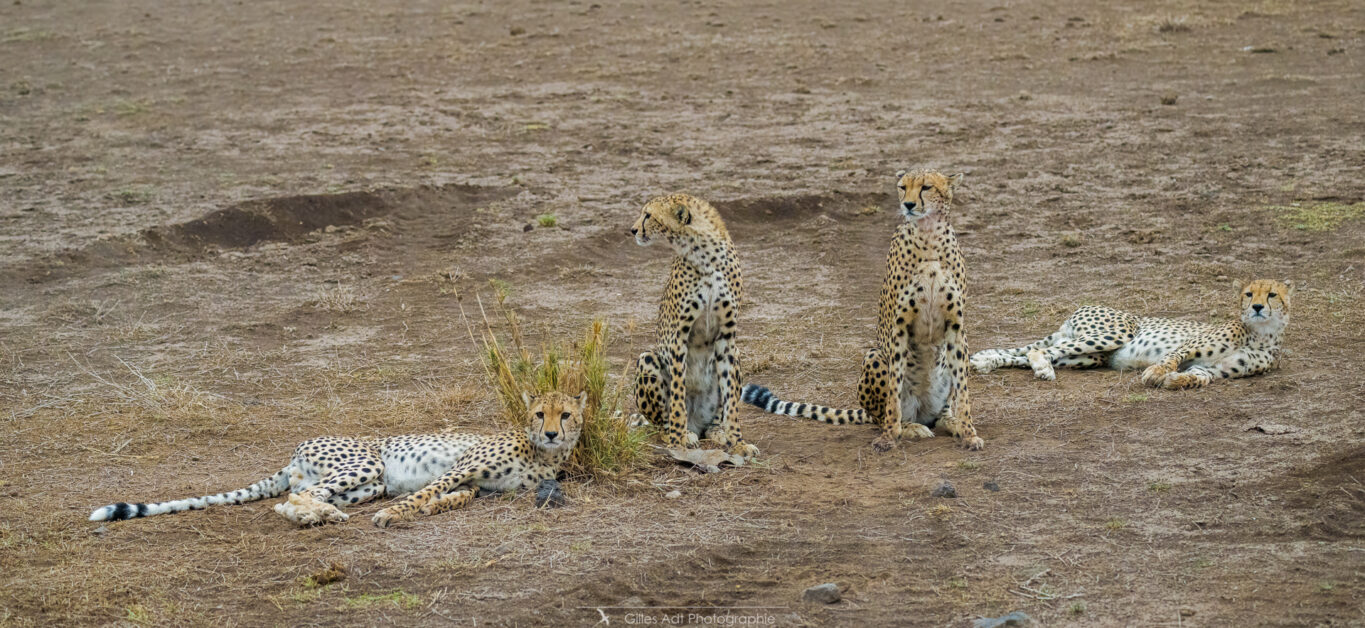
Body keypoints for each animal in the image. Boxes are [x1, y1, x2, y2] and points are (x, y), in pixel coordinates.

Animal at [90, 390, 581, 526]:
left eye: (566, 414)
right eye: (540, 413)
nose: (552, 432)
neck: (542, 453)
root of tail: (294, 452)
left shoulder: (475, 484)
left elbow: (452, 497)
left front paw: (428, 509)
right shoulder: (462, 468)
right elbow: (425, 493)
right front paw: (393, 517)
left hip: (369, 482)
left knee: (300, 497)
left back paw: (320, 515)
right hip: (369, 463)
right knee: (291, 500)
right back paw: (317, 517)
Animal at [625, 193, 758, 458]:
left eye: (648, 215)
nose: (633, 230)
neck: (704, 254)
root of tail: (697, 421)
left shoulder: (727, 338)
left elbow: (731, 402)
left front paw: (738, 443)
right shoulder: (678, 338)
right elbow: (677, 396)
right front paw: (678, 440)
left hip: (737, 355)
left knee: (712, 421)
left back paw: (717, 432)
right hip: (647, 358)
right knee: (661, 422)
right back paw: (679, 432)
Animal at [742, 167, 988, 450]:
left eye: (926, 187)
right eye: (903, 187)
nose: (908, 205)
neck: (928, 235)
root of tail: (922, 412)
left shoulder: (956, 327)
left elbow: (963, 391)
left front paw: (969, 433)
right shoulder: (899, 326)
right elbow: (894, 391)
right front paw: (890, 437)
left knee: (942, 411)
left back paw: (950, 422)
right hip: (873, 355)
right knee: (882, 414)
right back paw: (908, 427)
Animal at [971, 279, 1288, 387]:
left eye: (1272, 295)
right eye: (1249, 294)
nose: (1257, 307)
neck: (1261, 332)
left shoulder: (1213, 369)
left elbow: (1199, 376)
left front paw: (1175, 381)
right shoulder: (1188, 346)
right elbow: (1171, 358)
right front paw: (1155, 375)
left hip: (1089, 356)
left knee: (1027, 355)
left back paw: (986, 362)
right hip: (1118, 331)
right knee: (1038, 350)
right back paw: (1042, 369)